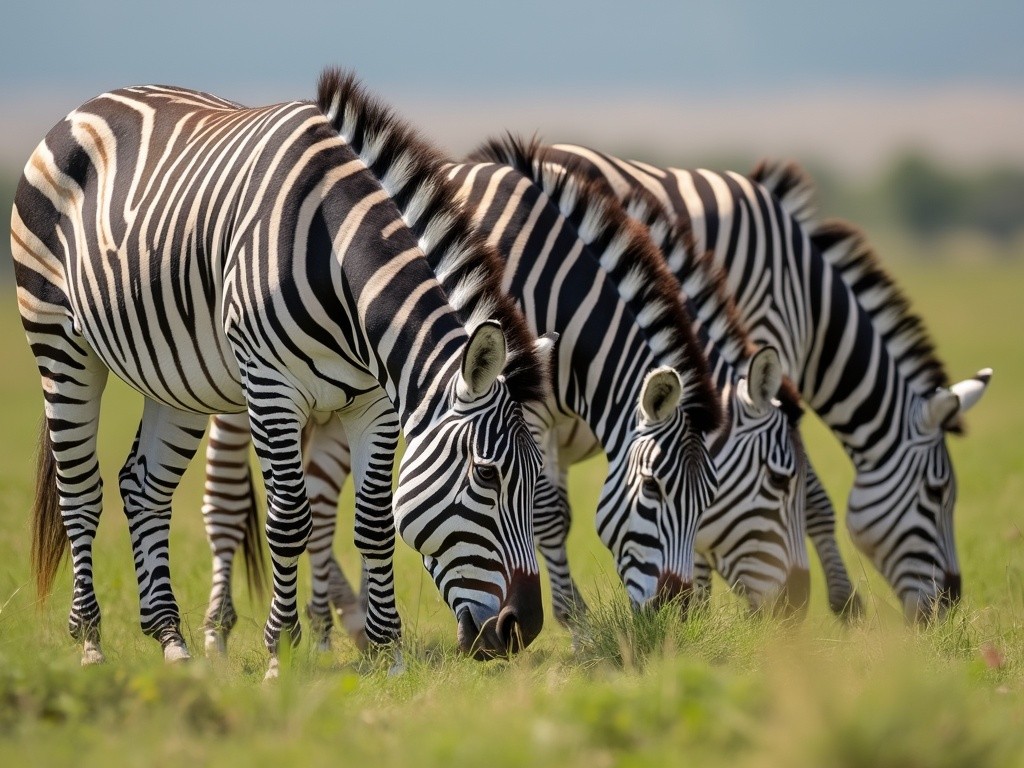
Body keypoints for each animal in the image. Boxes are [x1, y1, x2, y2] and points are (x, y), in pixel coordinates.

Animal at [9, 67, 552, 679]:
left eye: (538, 478)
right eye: (487, 475)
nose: (522, 629)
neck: (340, 260)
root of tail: (87, 105)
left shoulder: (375, 404)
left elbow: (375, 523)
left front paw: (389, 654)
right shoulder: (271, 387)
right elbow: (290, 520)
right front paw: (280, 654)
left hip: (176, 378)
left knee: (143, 487)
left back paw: (171, 638)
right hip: (59, 344)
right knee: (80, 490)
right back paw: (91, 642)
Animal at [540, 143, 987, 626]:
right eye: (938, 493)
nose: (949, 604)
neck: (809, 301)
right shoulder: (758, 365)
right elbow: (811, 498)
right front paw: (845, 605)